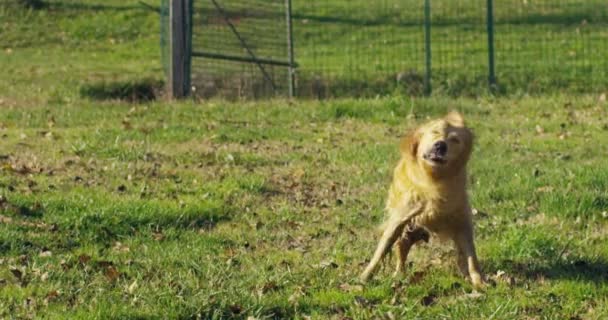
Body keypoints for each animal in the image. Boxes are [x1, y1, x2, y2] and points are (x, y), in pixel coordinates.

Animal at [360, 111, 484, 288]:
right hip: (407, 232)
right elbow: (382, 248)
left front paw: (478, 280)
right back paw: (399, 274)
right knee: (401, 253)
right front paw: (365, 276)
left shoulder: (461, 221)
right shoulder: (400, 218)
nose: (440, 145)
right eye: (435, 132)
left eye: (454, 139)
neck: (434, 179)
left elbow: (471, 255)